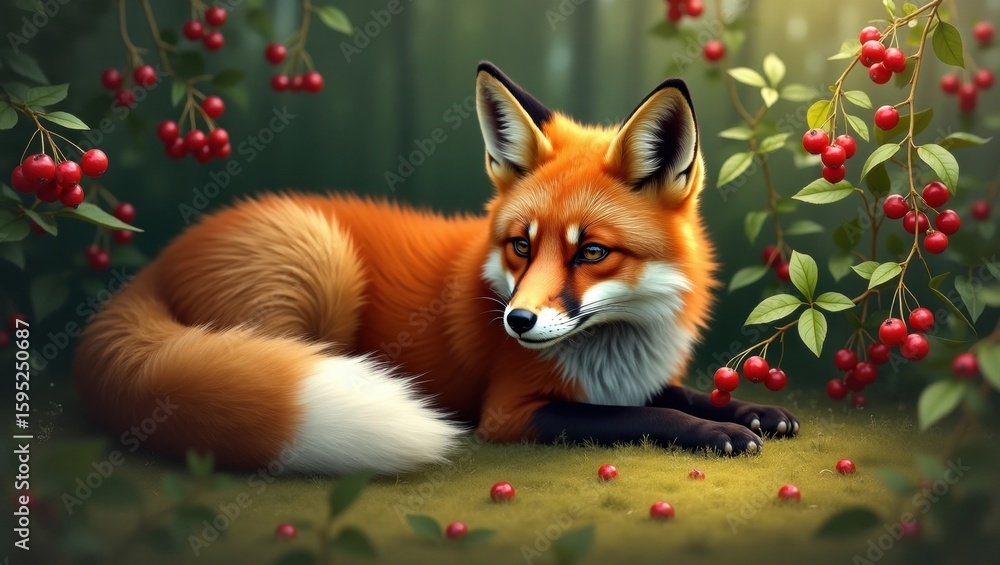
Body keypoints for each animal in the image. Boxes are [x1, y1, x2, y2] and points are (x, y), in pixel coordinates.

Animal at [74, 62, 799, 475]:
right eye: (521, 246)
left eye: (591, 251)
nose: (518, 320)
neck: (614, 349)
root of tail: (159, 257)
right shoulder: (510, 414)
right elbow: (637, 419)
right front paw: (719, 433)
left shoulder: (631, 380)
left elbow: (677, 396)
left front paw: (755, 412)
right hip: (319, 264)